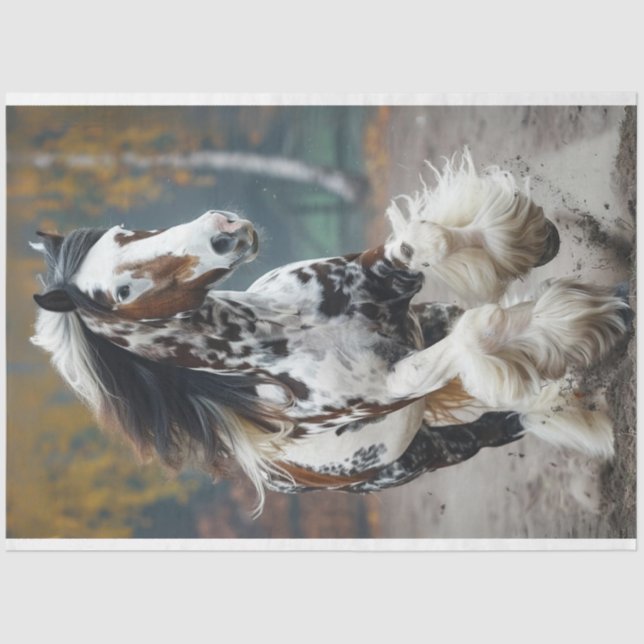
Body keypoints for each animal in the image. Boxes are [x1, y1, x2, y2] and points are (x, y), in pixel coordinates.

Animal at [31, 150, 630, 513]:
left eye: (124, 230)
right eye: (120, 293)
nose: (224, 231)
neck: (287, 332)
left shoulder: (387, 276)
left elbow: (428, 242)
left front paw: (533, 240)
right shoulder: (395, 384)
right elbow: (475, 333)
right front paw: (589, 320)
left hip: (430, 322)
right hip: (429, 452)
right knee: (504, 418)